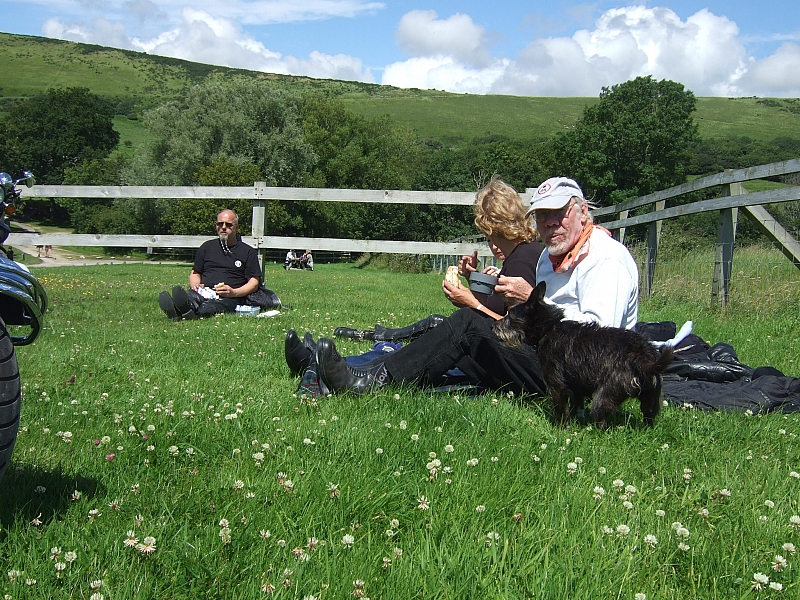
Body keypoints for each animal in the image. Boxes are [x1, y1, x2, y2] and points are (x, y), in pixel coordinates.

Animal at [494, 282, 676, 428]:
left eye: (510, 316)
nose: (493, 326)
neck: (550, 329)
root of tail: (643, 358)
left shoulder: (556, 385)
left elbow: (561, 411)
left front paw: (561, 429)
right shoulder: (576, 387)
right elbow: (577, 406)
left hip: (604, 396)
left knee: (602, 422)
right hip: (650, 399)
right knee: (648, 418)